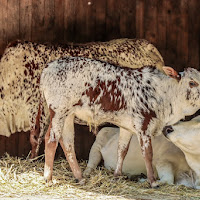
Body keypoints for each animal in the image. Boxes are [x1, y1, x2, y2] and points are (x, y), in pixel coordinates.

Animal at [39, 56, 200, 188]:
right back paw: (48, 178)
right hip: (58, 110)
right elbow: (148, 154)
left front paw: (117, 175)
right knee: (52, 140)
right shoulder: (143, 125)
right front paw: (153, 181)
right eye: (192, 83)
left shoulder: (127, 127)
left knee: (67, 142)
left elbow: (122, 150)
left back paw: (80, 177)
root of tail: (48, 67)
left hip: (68, 115)